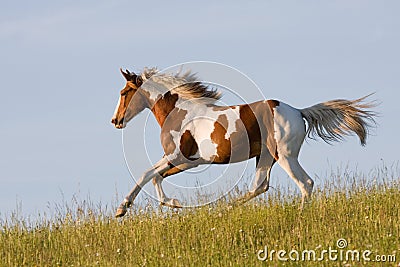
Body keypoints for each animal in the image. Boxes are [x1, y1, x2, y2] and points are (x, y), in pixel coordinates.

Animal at [111, 66, 376, 218]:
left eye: (124, 93)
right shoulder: (189, 161)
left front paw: (122, 209)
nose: (115, 120)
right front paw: (174, 203)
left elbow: (146, 173)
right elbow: (157, 176)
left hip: (285, 156)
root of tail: (298, 112)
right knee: (259, 186)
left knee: (305, 183)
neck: (180, 113)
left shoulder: (178, 156)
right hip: (265, 157)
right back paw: (223, 210)